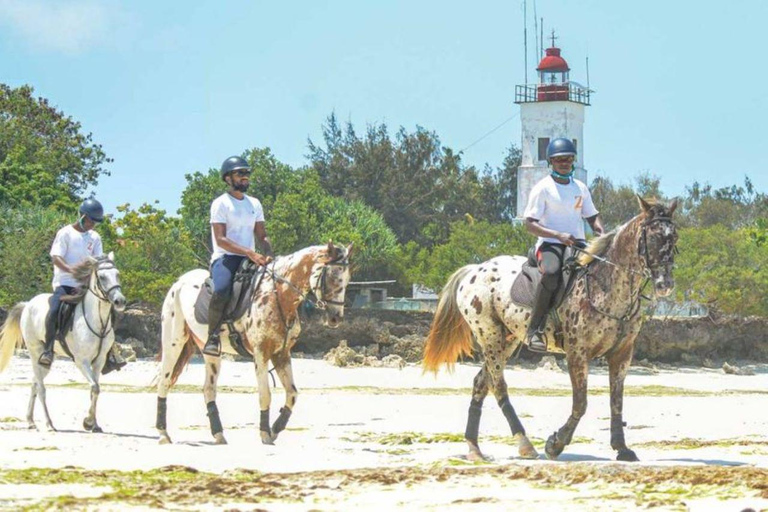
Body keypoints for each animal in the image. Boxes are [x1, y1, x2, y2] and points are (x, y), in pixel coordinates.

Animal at [0, 254, 125, 430]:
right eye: (102, 277)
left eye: (117, 274)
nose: (120, 301)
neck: (97, 321)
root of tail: (28, 304)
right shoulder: (82, 361)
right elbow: (94, 387)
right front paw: (88, 421)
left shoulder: (99, 361)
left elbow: (95, 389)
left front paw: (93, 424)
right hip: (35, 352)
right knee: (41, 388)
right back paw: (49, 423)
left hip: (45, 362)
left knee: (34, 382)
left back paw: (31, 421)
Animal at [157, 242, 354, 446]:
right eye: (332, 275)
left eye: (347, 278)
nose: (335, 318)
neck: (278, 295)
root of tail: (179, 282)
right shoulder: (261, 353)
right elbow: (265, 395)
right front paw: (265, 434)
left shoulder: (282, 354)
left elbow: (292, 394)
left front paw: (275, 429)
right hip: (173, 343)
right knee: (164, 381)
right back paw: (163, 433)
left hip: (210, 352)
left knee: (208, 390)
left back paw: (218, 434)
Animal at [420, 196, 680, 460]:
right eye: (653, 237)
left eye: (675, 237)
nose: (666, 284)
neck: (606, 287)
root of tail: (473, 269)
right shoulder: (577, 353)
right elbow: (581, 403)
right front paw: (556, 443)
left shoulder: (622, 354)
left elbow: (616, 402)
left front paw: (622, 448)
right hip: (489, 335)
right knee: (499, 385)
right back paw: (525, 444)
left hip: (507, 339)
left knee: (482, 383)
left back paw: (474, 447)